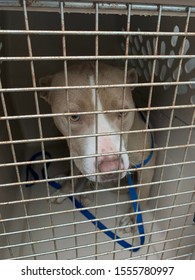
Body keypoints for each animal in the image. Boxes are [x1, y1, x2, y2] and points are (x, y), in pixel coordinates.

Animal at [39, 63, 155, 232]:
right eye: (74, 117)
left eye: (122, 112)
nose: (111, 169)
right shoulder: (78, 155)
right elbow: (74, 175)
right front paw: (64, 191)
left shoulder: (147, 164)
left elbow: (142, 193)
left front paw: (132, 218)